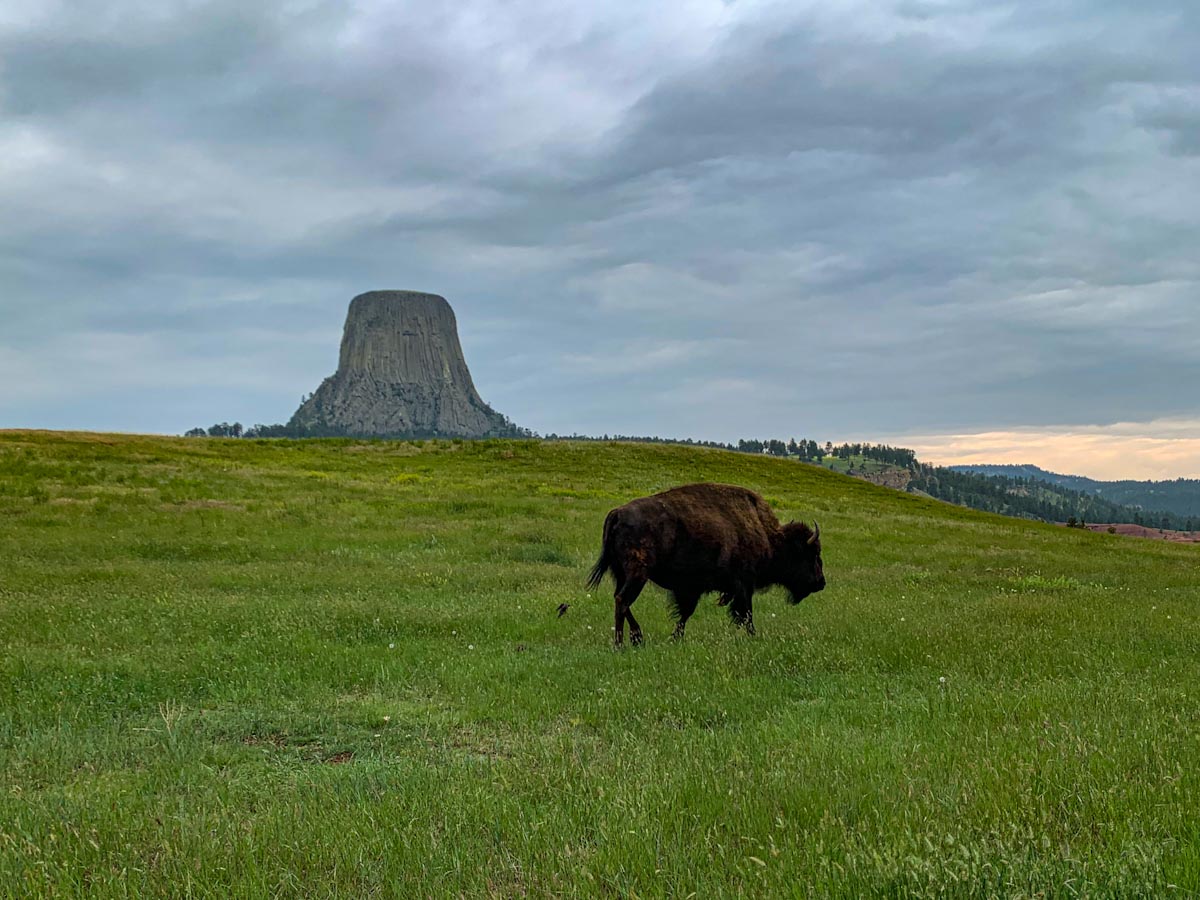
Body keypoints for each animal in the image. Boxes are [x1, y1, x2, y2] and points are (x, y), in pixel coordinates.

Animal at [588, 487, 825, 648]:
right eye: (812, 554)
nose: (821, 583)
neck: (768, 536)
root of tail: (617, 513)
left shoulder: (691, 589)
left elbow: (685, 614)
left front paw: (675, 638)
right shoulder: (743, 586)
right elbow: (746, 614)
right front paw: (753, 636)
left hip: (621, 574)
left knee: (620, 599)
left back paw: (636, 638)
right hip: (637, 574)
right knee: (622, 600)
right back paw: (622, 643)